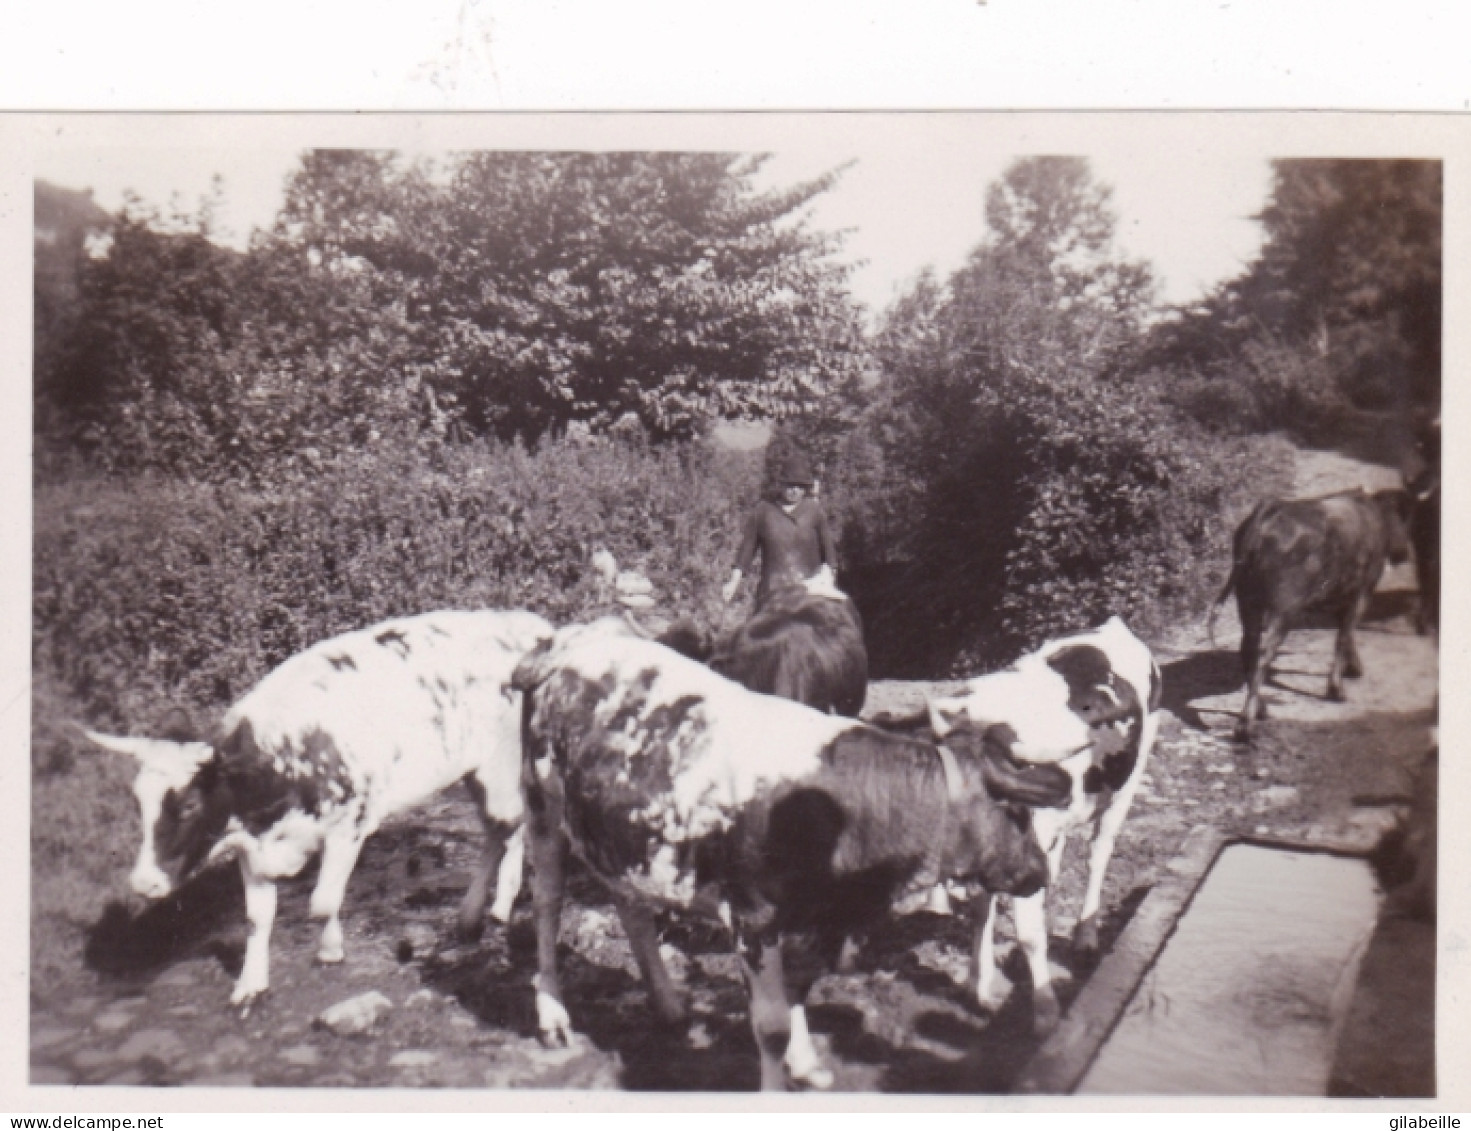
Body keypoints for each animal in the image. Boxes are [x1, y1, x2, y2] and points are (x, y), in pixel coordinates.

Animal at [82, 608, 553, 1005]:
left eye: (190, 804)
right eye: (137, 801)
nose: (144, 883)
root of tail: (531, 624)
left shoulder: (351, 824)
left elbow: (322, 901)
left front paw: (330, 950)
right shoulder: (251, 840)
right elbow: (256, 917)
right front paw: (251, 984)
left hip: (501, 765)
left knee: (504, 827)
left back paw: (476, 913)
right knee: (504, 831)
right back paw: (496, 905)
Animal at [511, 623, 1076, 1088]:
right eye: (1017, 813)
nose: (1039, 872)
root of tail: (569, 639)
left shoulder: (818, 917)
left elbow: (800, 989)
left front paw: (805, 1063)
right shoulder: (753, 917)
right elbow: (771, 1026)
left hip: (621, 836)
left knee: (631, 905)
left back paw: (667, 1002)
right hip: (542, 810)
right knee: (547, 903)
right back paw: (552, 1014)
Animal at [929, 617, 1159, 1035]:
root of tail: (1113, 626)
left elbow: (1030, 934)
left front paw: (1046, 1009)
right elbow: (981, 909)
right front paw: (977, 983)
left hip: (1128, 783)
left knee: (1099, 854)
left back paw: (1085, 935)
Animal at [1206, 485, 1412, 741]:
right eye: (1404, 518)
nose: (1404, 552)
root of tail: (1270, 508)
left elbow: (1346, 633)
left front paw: (1354, 668)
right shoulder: (1362, 591)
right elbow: (1344, 634)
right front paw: (1336, 689)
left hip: (1247, 602)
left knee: (1248, 650)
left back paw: (1260, 710)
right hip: (1283, 610)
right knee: (1264, 654)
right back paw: (1245, 725)